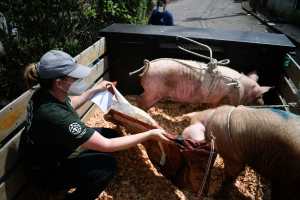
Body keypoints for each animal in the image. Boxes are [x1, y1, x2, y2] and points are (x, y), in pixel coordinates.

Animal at [132, 58, 272, 109]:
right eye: (260, 96)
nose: (263, 103)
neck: (242, 89)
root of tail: (148, 66)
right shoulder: (223, 98)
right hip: (154, 90)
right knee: (141, 99)